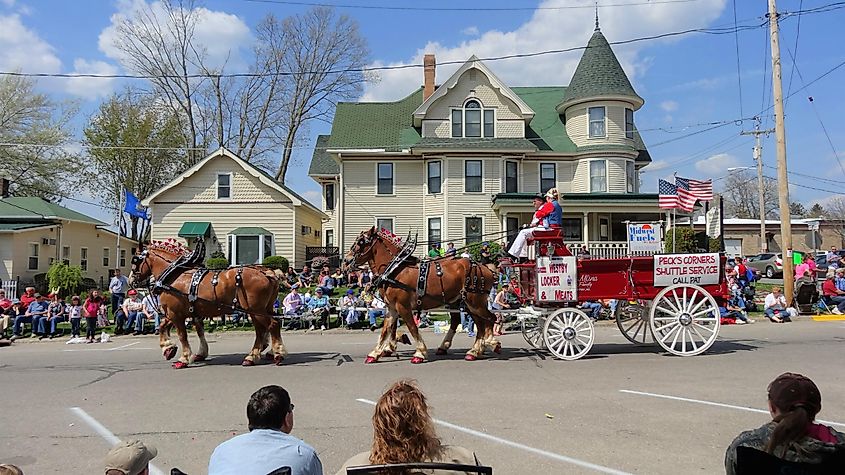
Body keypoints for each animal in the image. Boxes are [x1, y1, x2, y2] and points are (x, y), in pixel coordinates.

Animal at [126, 242, 284, 368]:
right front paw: (169, 349)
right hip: (262, 309)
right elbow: (170, 327)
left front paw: (183, 359)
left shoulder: (176, 314)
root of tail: (267, 272)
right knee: (264, 329)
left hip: (255, 309)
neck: (174, 275)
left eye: (135, 260)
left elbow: (182, 335)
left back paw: (276, 354)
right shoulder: (180, 313)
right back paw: (257, 355)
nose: (131, 281)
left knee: (272, 325)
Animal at [342, 227, 502, 364]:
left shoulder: (403, 306)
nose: (345, 261)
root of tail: (486, 268)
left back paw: (489, 344)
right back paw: (473, 350)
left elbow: (412, 328)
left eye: (360, 243)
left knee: (489, 319)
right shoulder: (392, 308)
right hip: (465, 302)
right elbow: (386, 330)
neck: (395, 270)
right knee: (476, 322)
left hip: (474, 302)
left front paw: (419, 353)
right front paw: (375, 353)